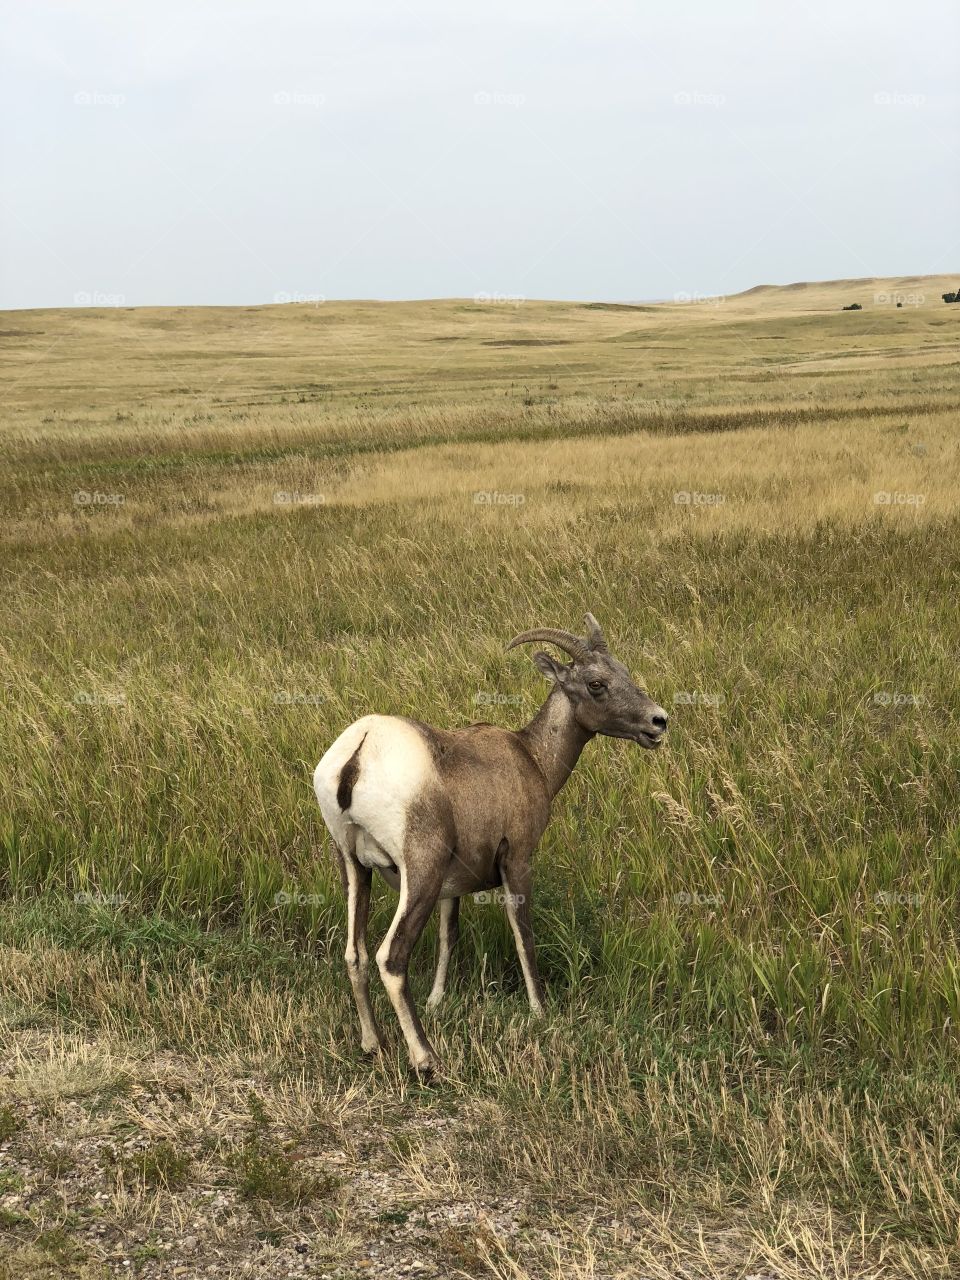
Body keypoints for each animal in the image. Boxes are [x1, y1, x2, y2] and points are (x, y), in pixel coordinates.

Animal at [313, 614, 668, 1074]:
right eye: (595, 683)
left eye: (622, 671)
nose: (658, 722)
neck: (531, 757)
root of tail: (359, 751)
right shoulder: (516, 861)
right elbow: (523, 935)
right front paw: (540, 1012)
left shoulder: (451, 887)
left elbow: (448, 936)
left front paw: (437, 1000)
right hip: (418, 875)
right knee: (390, 958)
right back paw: (427, 1061)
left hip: (354, 869)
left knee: (355, 955)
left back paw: (374, 1044)